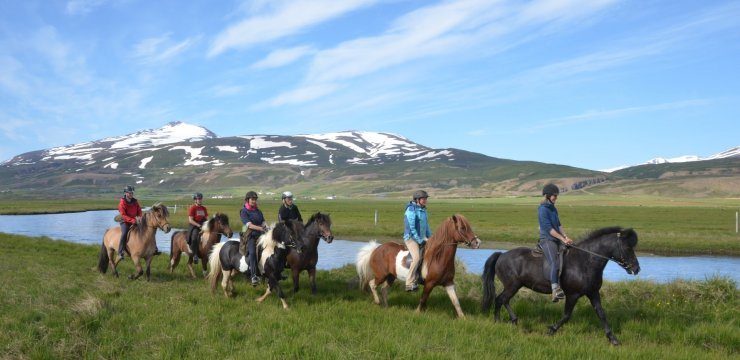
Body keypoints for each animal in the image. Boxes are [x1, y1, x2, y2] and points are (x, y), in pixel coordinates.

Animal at [482, 226, 640, 344]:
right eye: (628, 248)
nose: (636, 269)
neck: (585, 261)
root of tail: (502, 255)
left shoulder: (593, 292)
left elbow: (601, 314)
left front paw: (613, 338)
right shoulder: (573, 294)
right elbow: (566, 316)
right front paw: (551, 330)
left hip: (515, 285)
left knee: (505, 300)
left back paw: (513, 320)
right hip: (512, 285)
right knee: (500, 299)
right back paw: (498, 322)